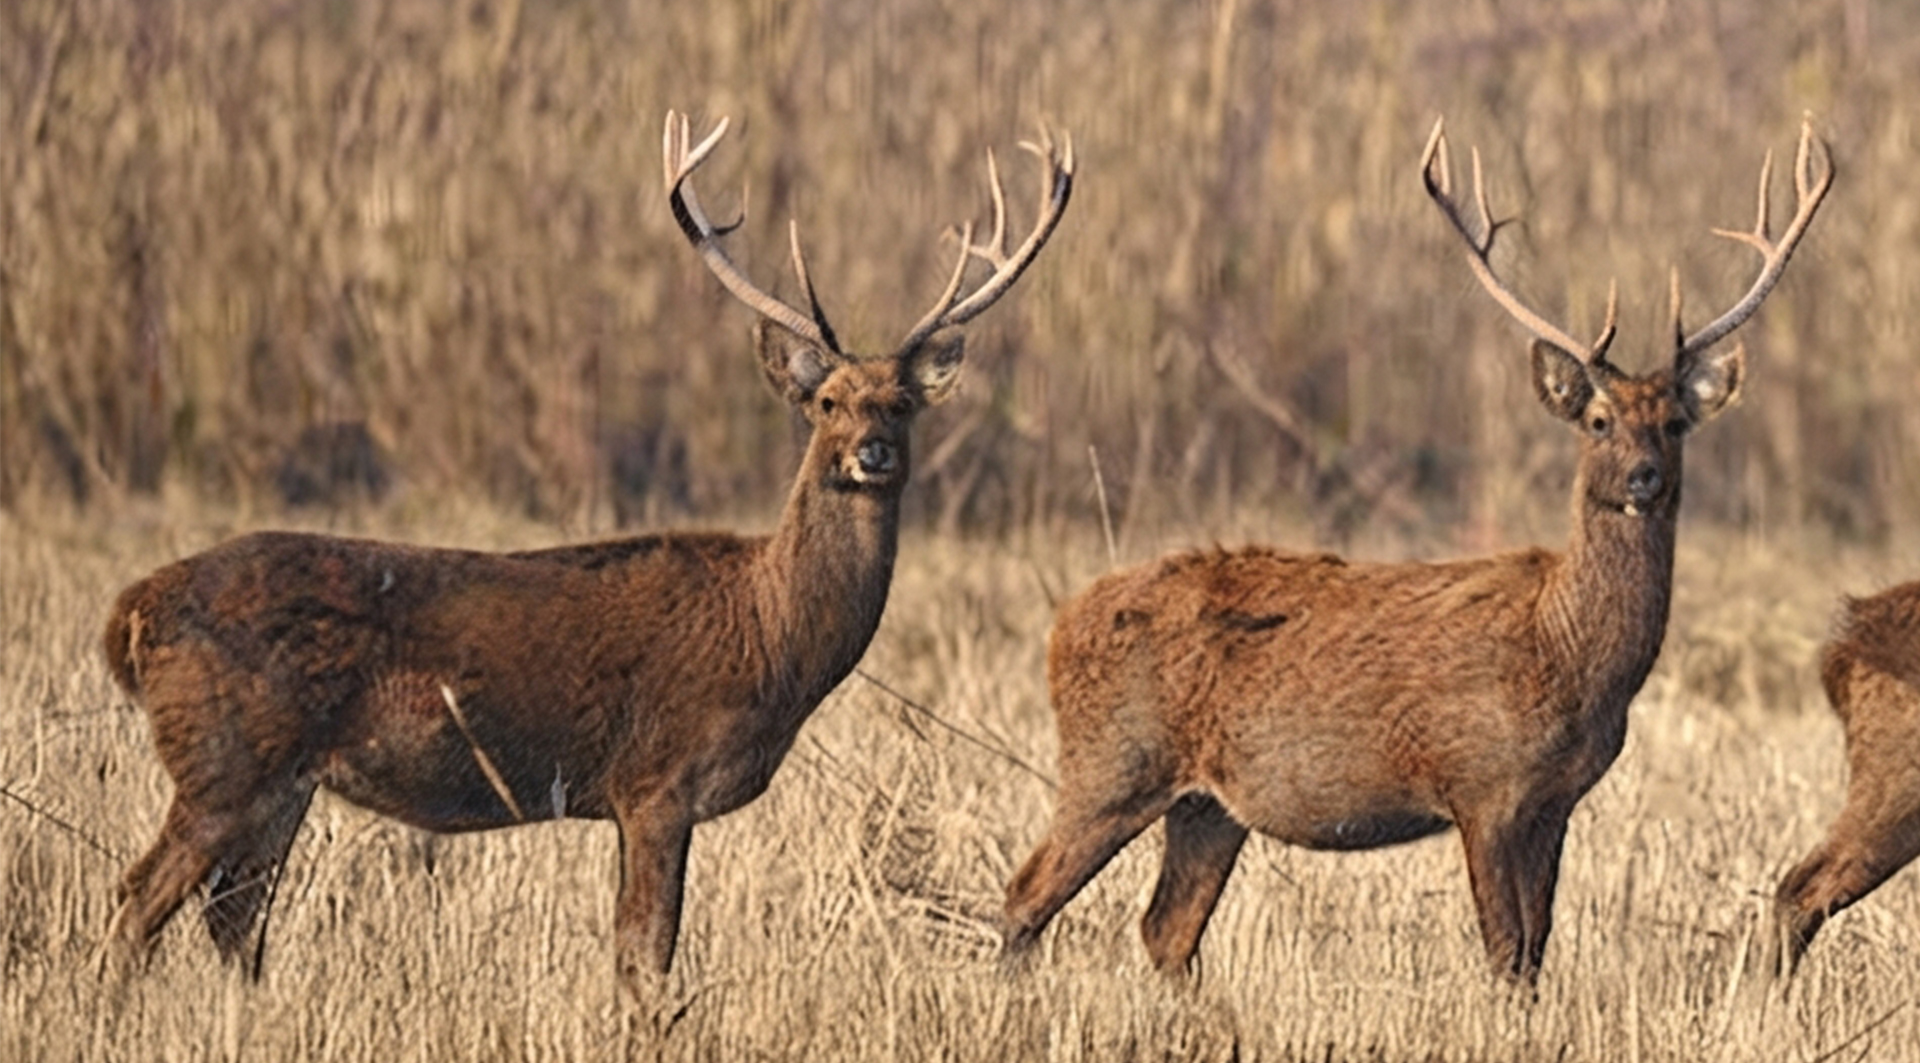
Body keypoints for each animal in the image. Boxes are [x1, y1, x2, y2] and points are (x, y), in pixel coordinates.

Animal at [99, 110, 1073, 997]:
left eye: (901, 403)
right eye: (826, 401)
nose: (870, 453)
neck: (773, 634)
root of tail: (133, 609)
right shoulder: (656, 779)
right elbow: (647, 960)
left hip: (277, 776)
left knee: (231, 918)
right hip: (224, 756)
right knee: (137, 900)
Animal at [1002, 117, 1830, 984]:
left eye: (1673, 422)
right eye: (1599, 420)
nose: (1645, 476)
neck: (1569, 657)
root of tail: (1062, 623)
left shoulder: (1556, 801)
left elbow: (1536, 947)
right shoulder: (1481, 781)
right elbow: (1505, 949)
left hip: (1206, 803)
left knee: (1165, 928)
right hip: (1113, 761)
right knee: (1027, 894)